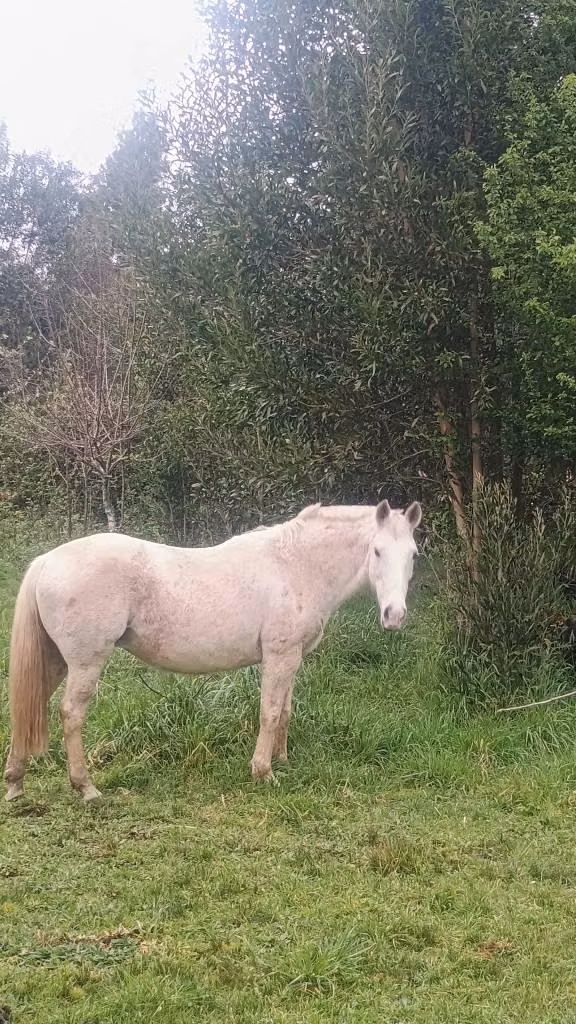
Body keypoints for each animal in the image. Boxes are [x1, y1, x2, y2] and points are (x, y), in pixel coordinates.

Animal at [4, 499, 421, 802]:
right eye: (377, 551)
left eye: (414, 554)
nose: (395, 616)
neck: (296, 566)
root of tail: (47, 561)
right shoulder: (279, 656)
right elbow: (270, 713)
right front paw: (263, 772)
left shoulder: (292, 659)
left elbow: (285, 711)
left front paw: (283, 761)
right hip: (85, 662)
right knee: (71, 714)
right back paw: (86, 788)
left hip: (56, 661)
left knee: (30, 706)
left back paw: (15, 783)